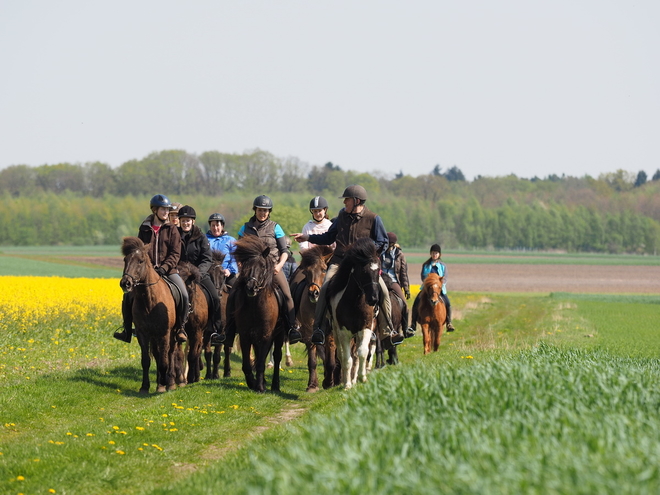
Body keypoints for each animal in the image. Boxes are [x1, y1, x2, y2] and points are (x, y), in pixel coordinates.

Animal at [120, 236, 183, 396]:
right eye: (125, 259)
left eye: (141, 261)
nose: (125, 283)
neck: (149, 301)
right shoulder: (143, 333)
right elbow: (146, 361)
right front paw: (145, 387)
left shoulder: (165, 333)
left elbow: (164, 360)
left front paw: (164, 385)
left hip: (172, 334)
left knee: (170, 353)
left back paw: (170, 383)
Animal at [232, 236, 284, 396]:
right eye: (246, 265)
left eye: (262, 266)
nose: (251, 287)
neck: (255, 306)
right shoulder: (245, 335)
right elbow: (247, 364)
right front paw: (252, 383)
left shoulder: (266, 335)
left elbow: (261, 362)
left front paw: (260, 386)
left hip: (279, 335)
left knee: (277, 356)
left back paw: (275, 385)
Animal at [288, 244, 332, 392]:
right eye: (306, 272)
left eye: (324, 269)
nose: (314, 293)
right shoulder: (309, 332)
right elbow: (313, 360)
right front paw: (313, 385)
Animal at [324, 237, 378, 392]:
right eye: (363, 271)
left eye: (378, 270)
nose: (373, 299)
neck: (355, 302)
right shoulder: (344, 332)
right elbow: (346, 358)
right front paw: (346, 384)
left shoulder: (365, 329)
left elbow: (362, 352)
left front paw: (361, 377)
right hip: (336, 333)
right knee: (342, 355)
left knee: (357, 353)